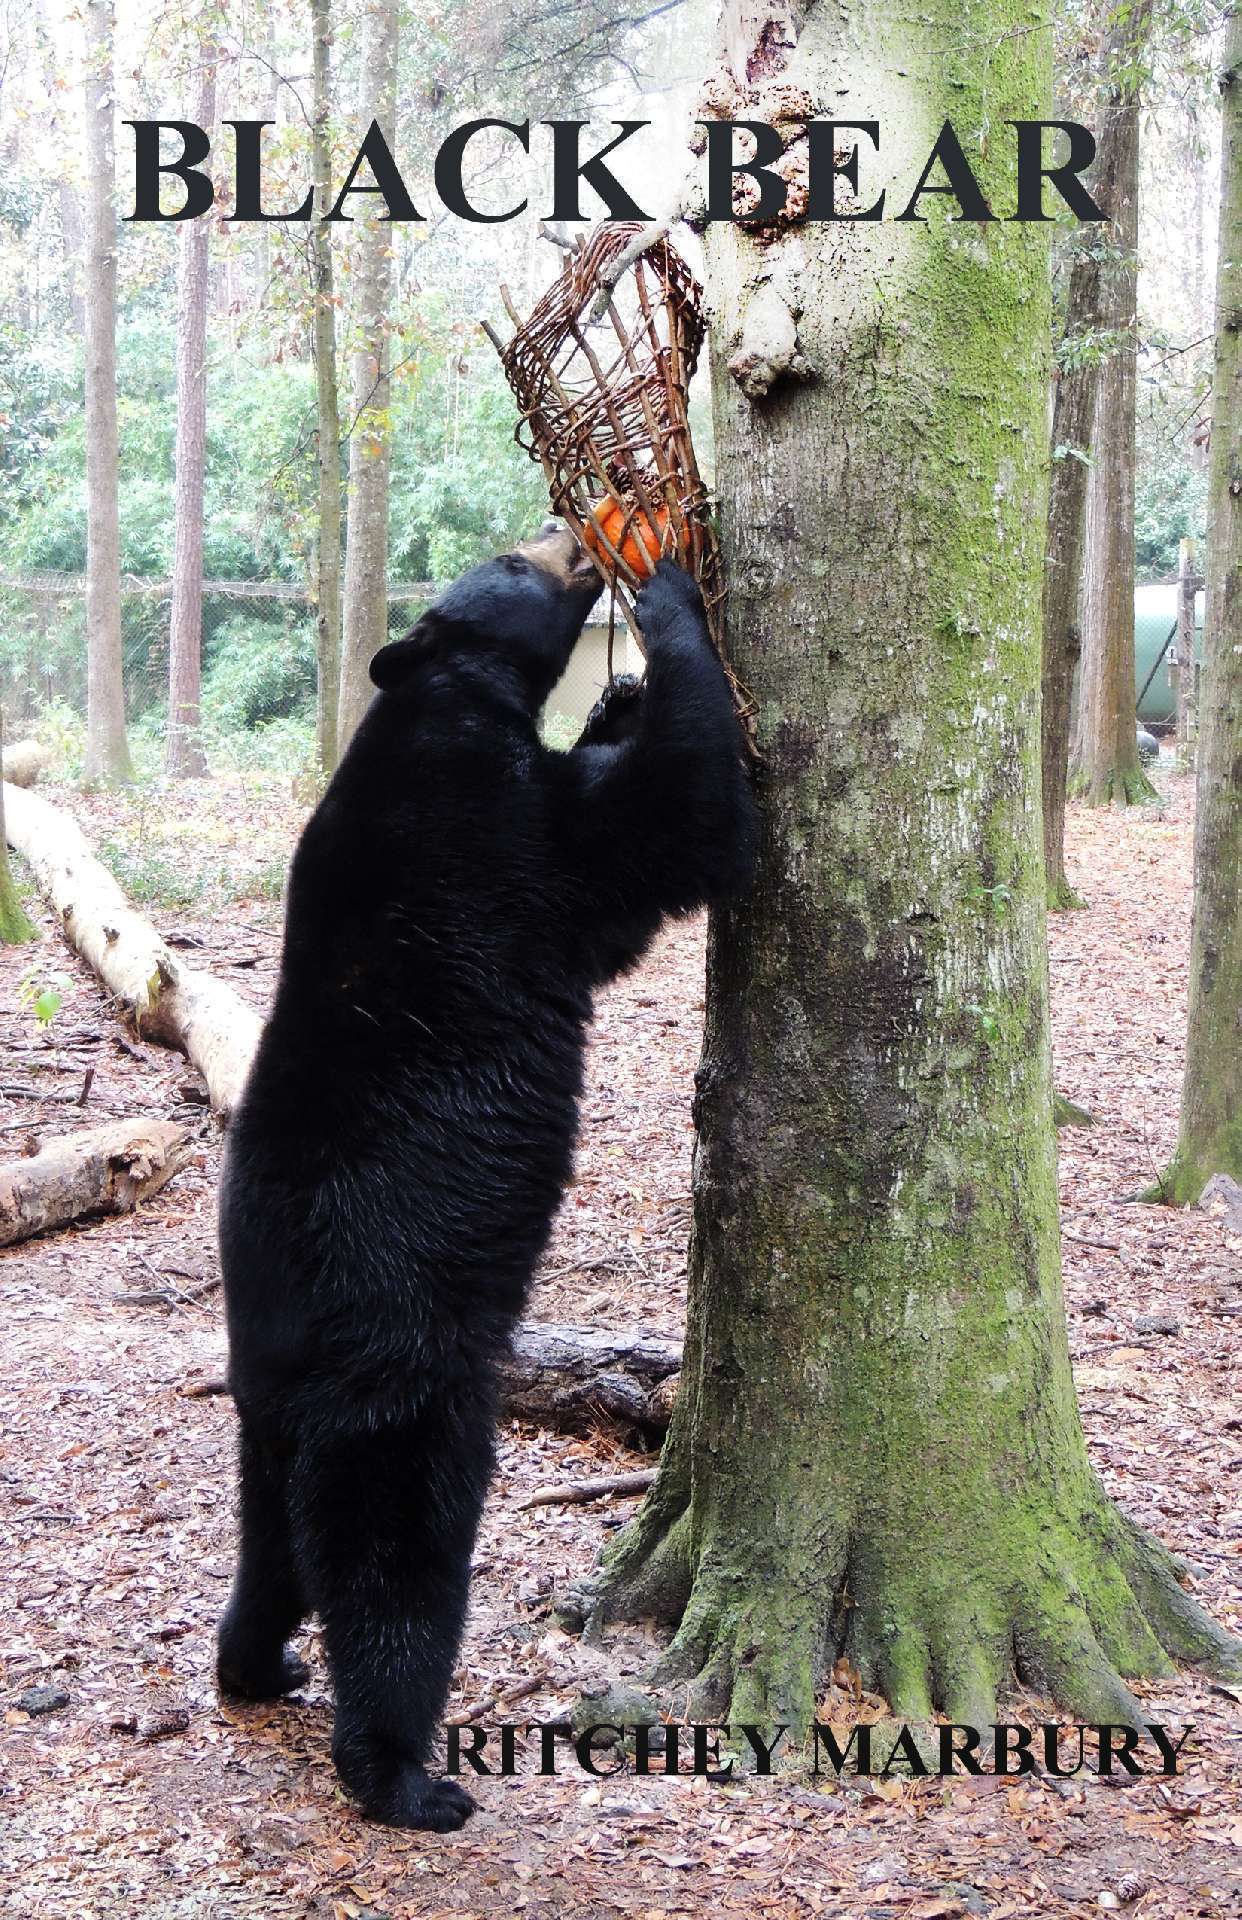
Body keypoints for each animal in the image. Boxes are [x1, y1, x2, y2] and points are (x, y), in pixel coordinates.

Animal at [215, 526, 758, 1831]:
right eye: (514, 556)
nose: (570, 538)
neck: (443, 693)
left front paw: (616, 694)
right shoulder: (492, 828)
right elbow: (661, 828)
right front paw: (668, 604)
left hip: (268, 1426)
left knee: (270, 1555)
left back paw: (257, 1665)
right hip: (403, 1395)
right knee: (392, 1577)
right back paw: (405, 1775)